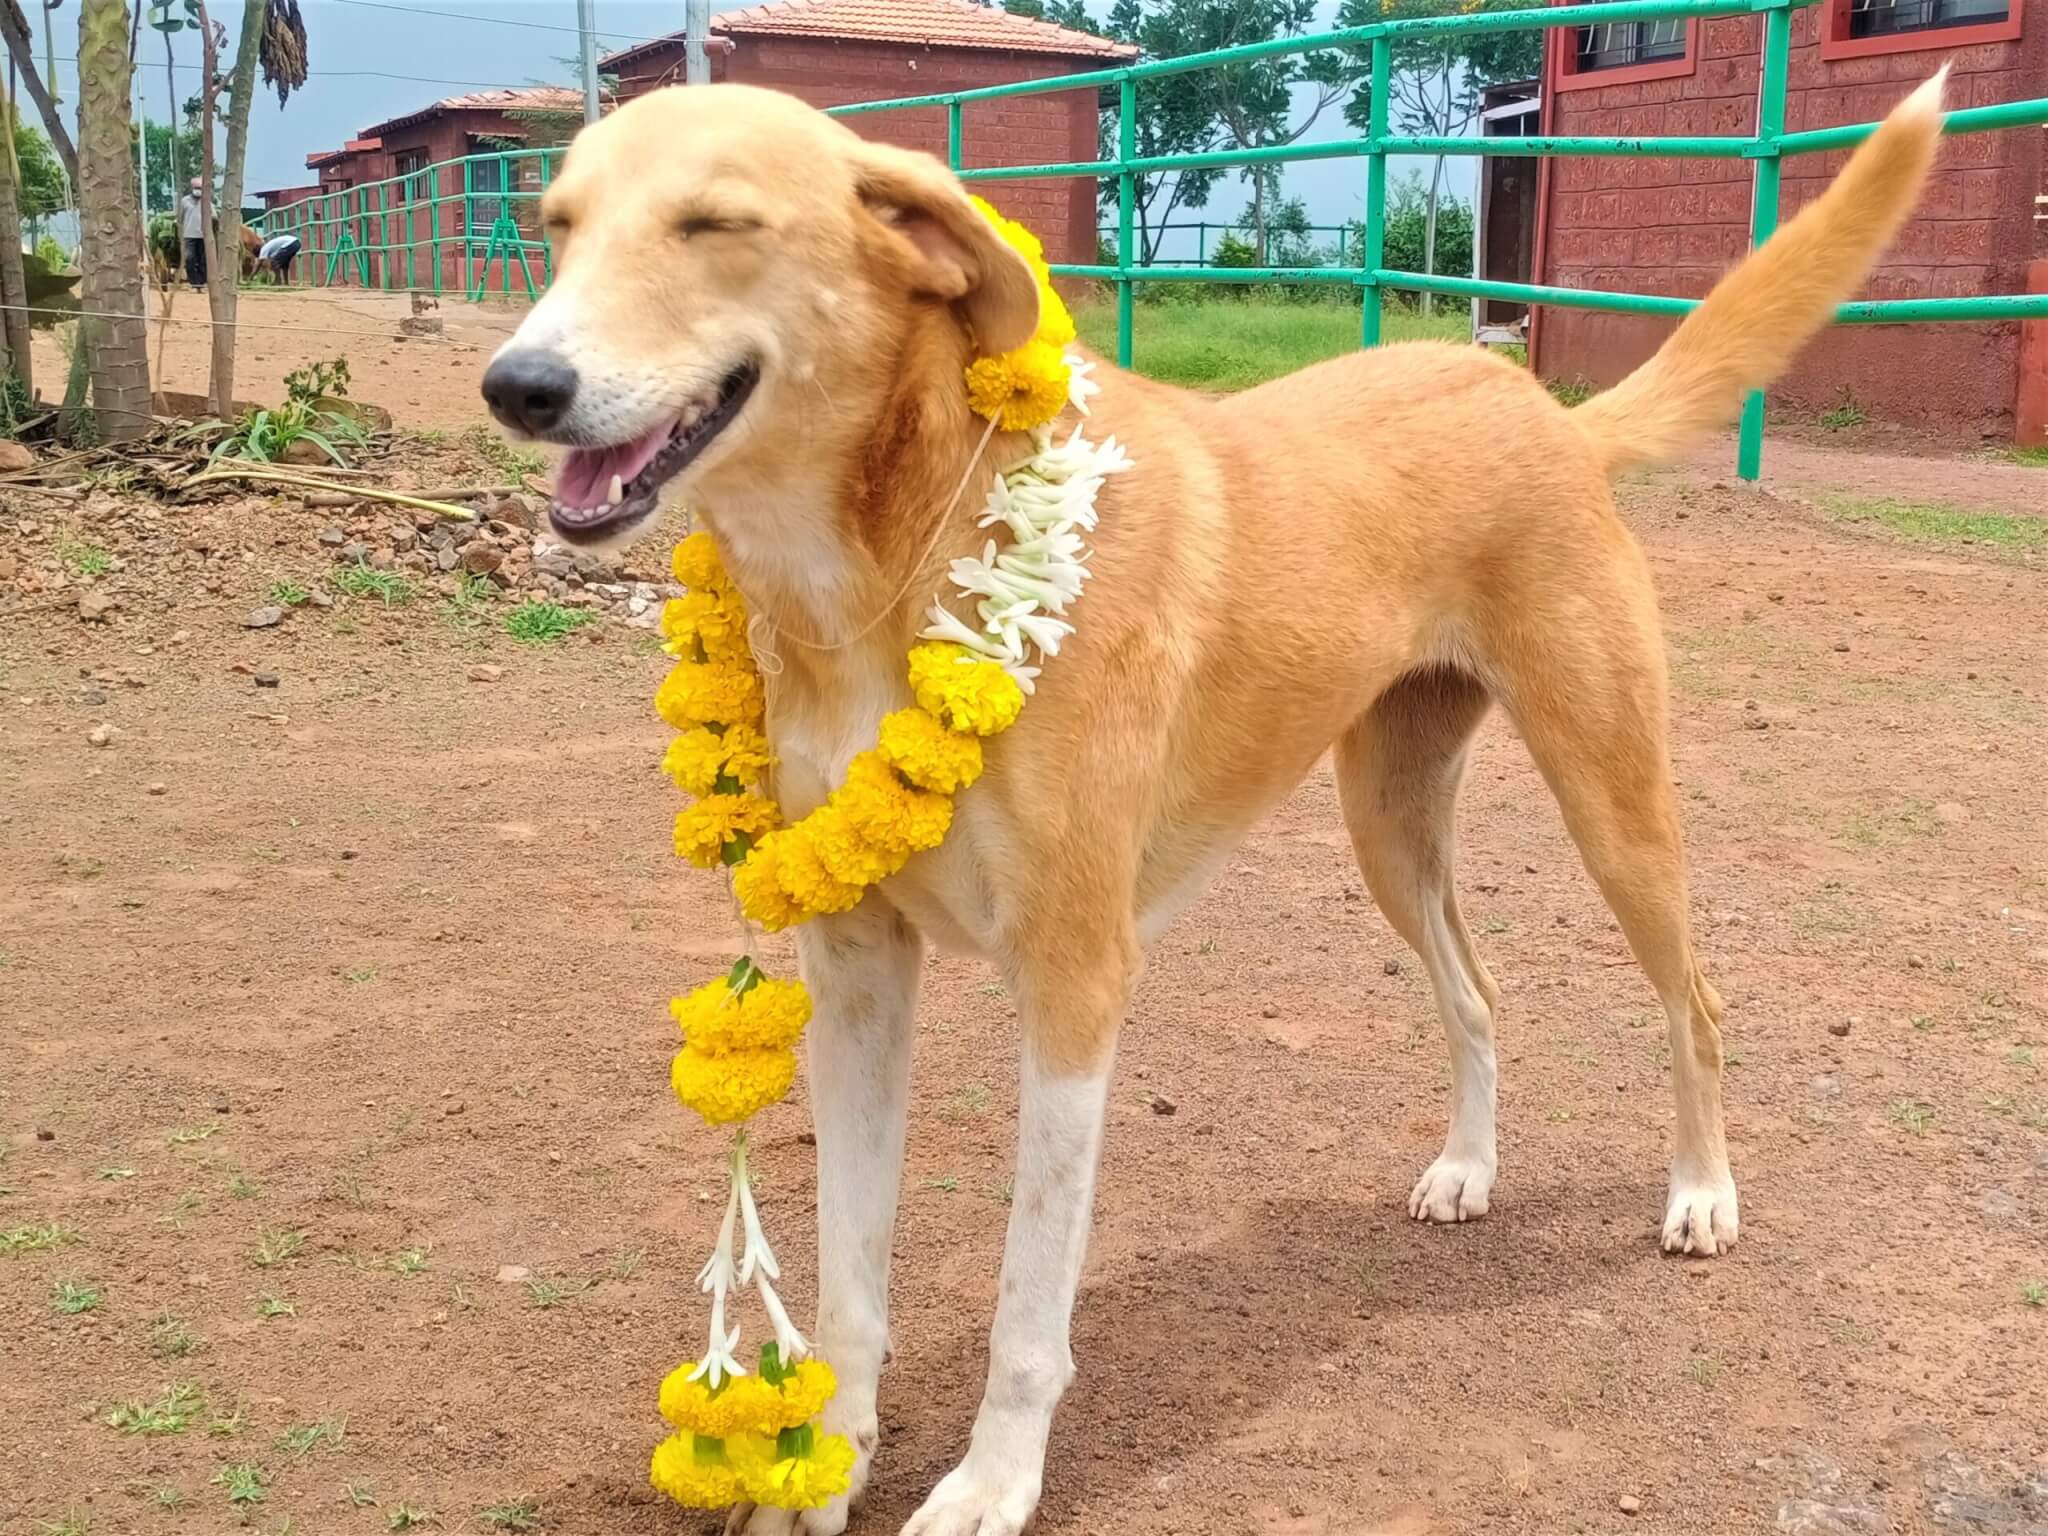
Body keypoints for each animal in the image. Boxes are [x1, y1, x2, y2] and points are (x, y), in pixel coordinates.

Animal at [479, 75, 1949, 1536]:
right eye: (557, 225)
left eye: (715, 223)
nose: (517, 386)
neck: (890, 564)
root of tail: (1542, 406)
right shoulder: (853, 967)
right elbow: (849, 1270)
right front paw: (821, 1467)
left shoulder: (1075, 977)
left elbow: (1026, 1303)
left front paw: (992, 1484)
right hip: (1388, 824)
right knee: (1477, 994)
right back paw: (1468, 1168)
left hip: (1611, 797)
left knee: (1694, 1001)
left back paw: (1700, 1193)